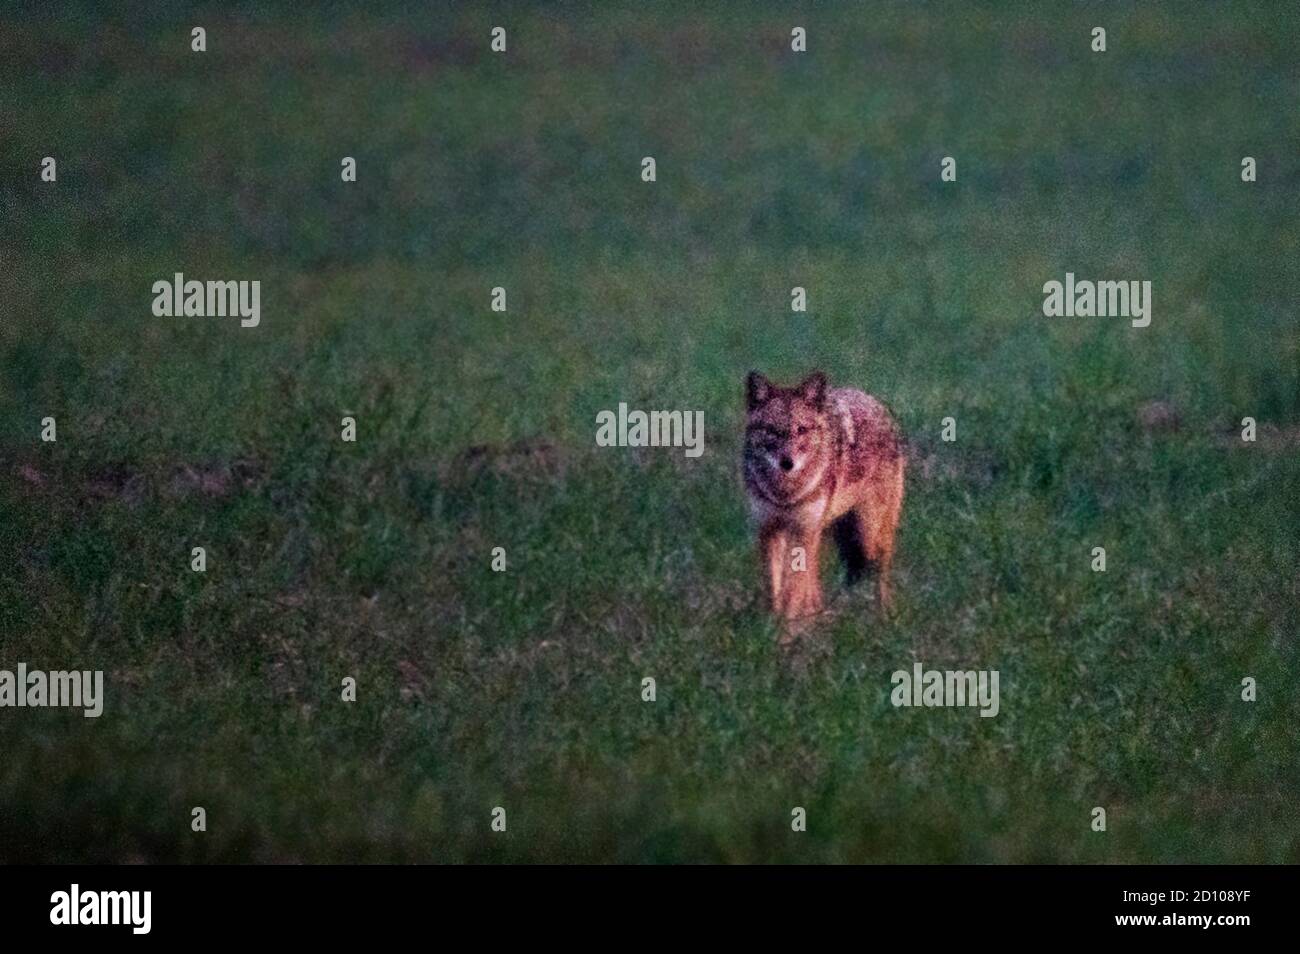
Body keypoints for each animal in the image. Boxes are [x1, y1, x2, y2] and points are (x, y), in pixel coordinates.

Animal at [742, 370, 905, 637]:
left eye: (802, 429)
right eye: (771, 431)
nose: (787, 463)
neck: (785, 491)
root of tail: (875, 402)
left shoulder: (803, 531)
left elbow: (792, 591)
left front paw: (786, 634)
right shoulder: (770, 530)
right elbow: (775, 589)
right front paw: (772, 629)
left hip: (868, 536)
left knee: (879, 574)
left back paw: (884, 621)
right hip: (826, 532)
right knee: (817, 579)